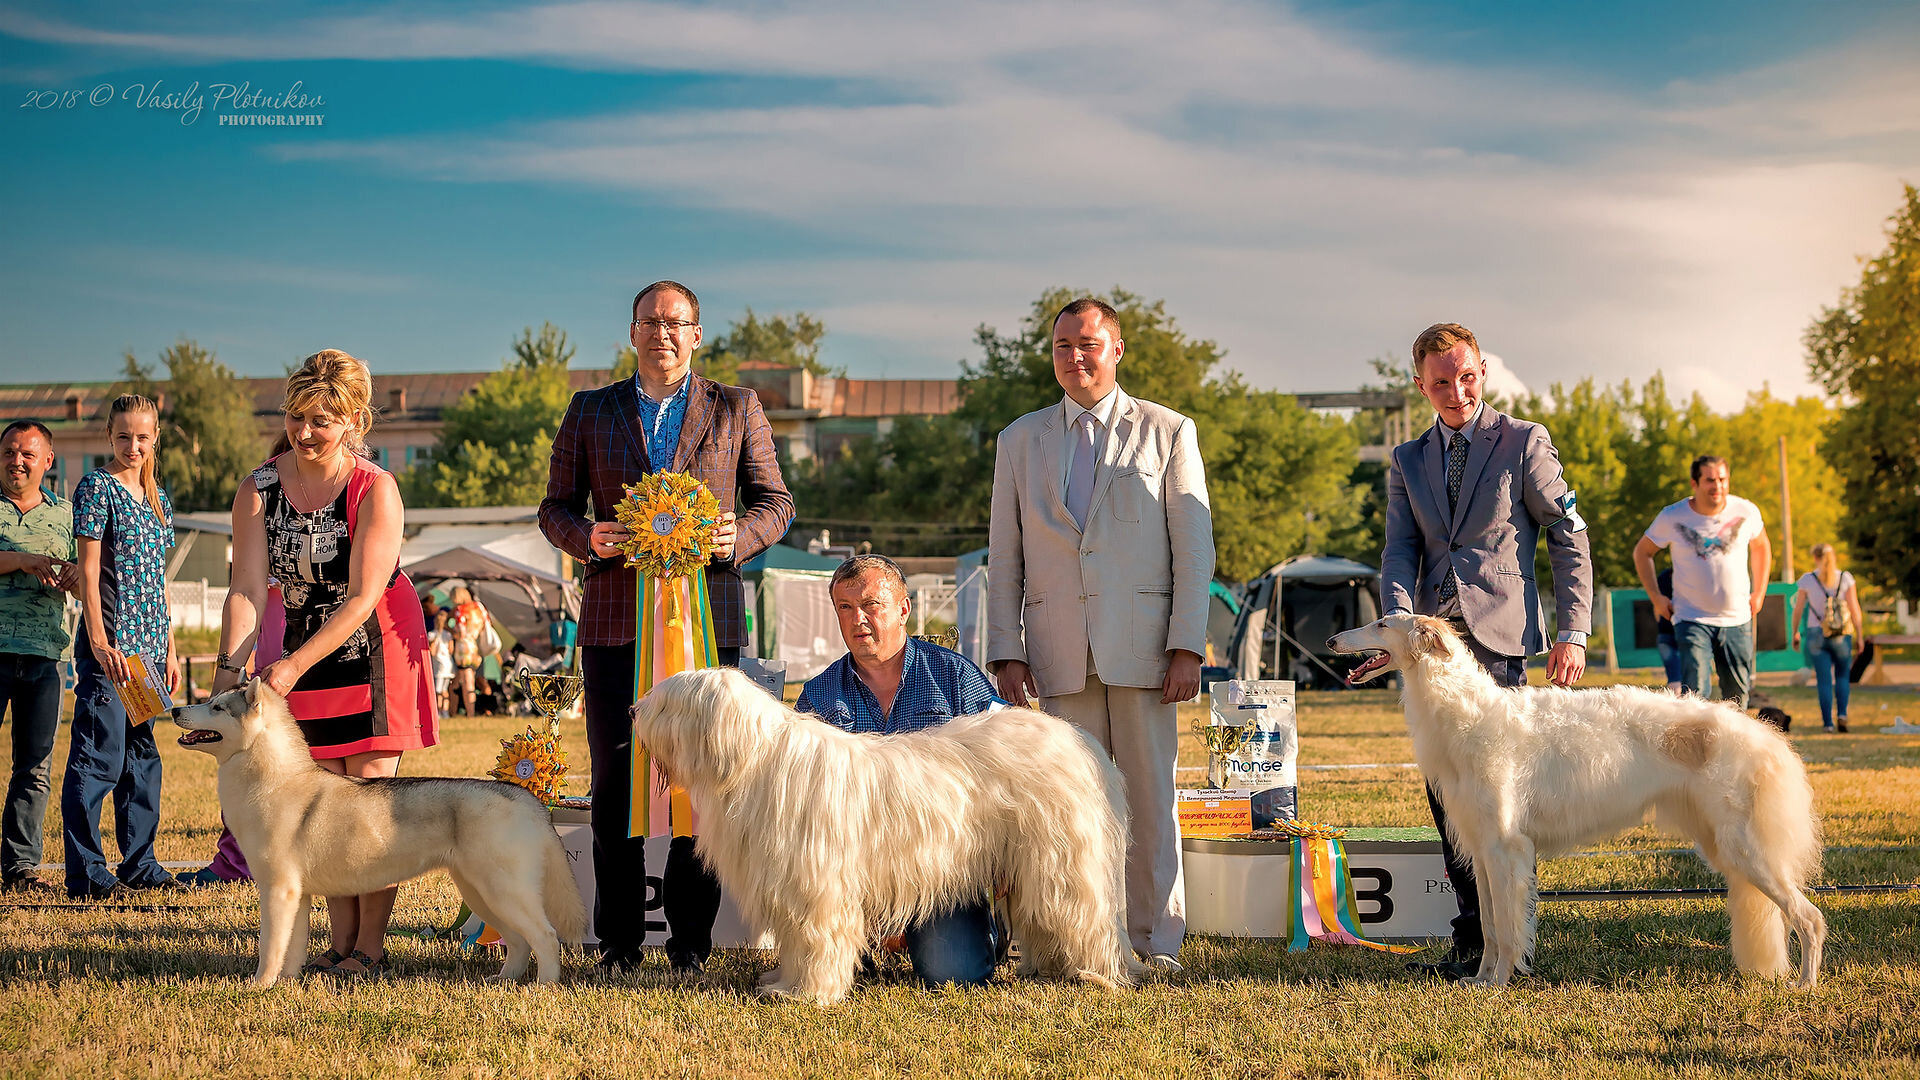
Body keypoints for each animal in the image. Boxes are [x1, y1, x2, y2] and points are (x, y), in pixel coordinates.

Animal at [172, 680, 583, 983]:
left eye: (217, 707)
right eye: (209, 700)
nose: (175, 710)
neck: (273, 781)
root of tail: (525, 796)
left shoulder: (276, 889)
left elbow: (269, 946)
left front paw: (260, 985)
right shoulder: (296, 895)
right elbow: (292, 945)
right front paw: (286, 983)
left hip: (502, 890)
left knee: (545, 936)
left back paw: (544, 986)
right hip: (481, 892)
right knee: (518, 941)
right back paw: (505, 980)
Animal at [629, 664, 1136, 999]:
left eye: (667, 700)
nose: (633, 709)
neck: (753, 758)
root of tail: (1082, 743)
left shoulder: (816, 886)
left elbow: (816, 939)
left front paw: (808, 994)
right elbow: (795, 943)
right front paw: (782, 983)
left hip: (1062, 860)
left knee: (1088, 918)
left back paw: (1099, 976)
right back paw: (1050, 970)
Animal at [1328, 611, 1820, 991]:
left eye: (1382, 622)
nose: (1331, 640)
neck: (1469, 713)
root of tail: (1762, 736)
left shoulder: (1506, 848)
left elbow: (1507, 929)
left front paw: (1499, 983)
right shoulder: (1482, 851)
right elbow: (1489, 926)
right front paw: (1479, 980)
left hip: (1746, 848)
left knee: (1811, 918)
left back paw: (1804, 986)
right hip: (1722, 844)